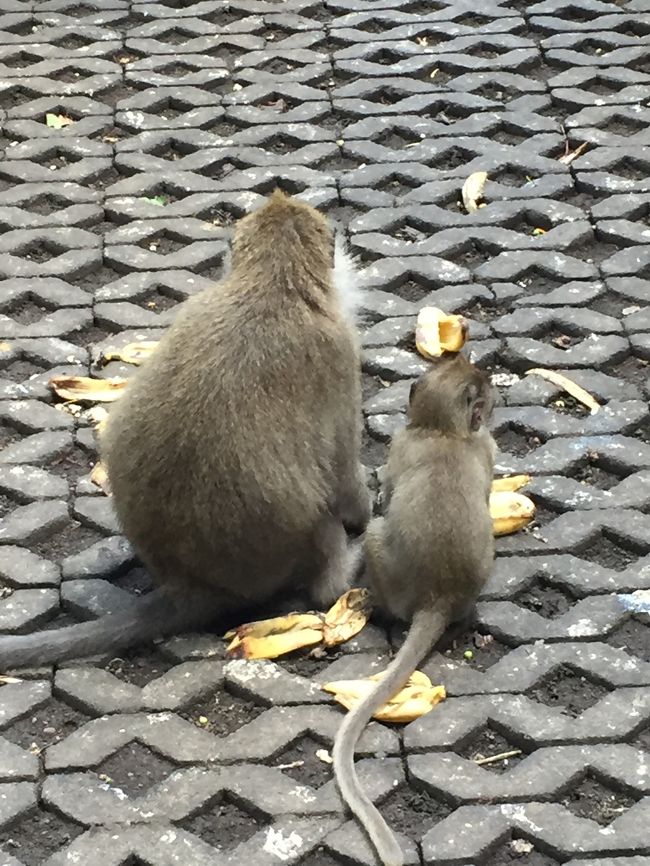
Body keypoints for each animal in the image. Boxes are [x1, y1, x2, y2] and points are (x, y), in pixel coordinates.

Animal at [0, 191, 368, 668]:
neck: (271, 284)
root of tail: (190, 584)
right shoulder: (340, 351)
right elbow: (343, 478)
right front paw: (365, 511)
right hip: (292, 554)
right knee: (322, 519)